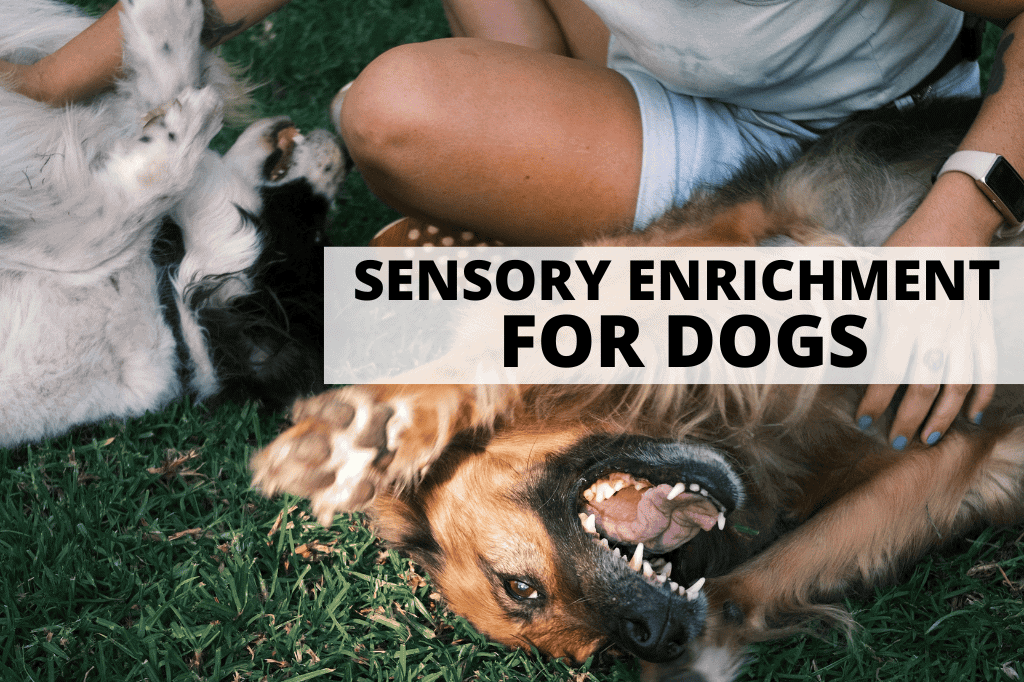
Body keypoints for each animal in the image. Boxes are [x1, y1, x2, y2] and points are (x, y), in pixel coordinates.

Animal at [249, 98, 1024, 675]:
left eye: (517, 586)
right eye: (602, 650)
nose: (655, 632)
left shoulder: (743, 240)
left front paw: (373, 423)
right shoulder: (956, 451)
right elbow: (765, 577)